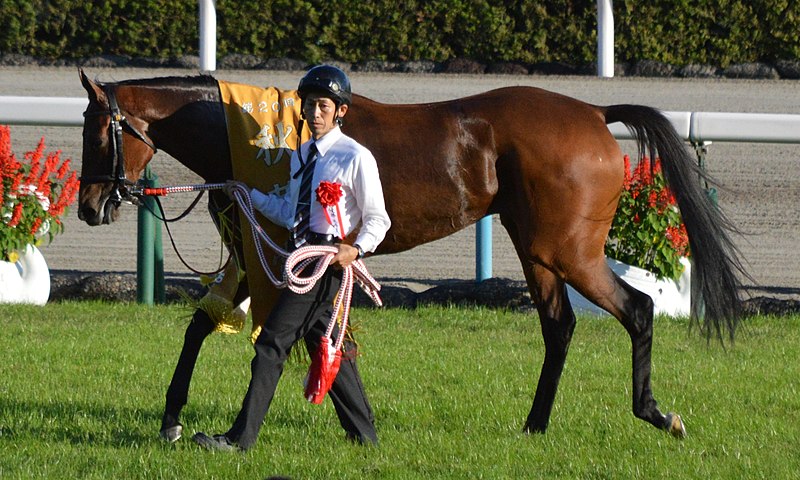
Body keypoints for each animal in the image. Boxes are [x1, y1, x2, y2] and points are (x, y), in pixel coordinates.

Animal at [78, 69, 748, 440]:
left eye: (96, 132)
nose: (89, 207)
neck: (255, 137)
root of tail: (592, 112)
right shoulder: (262, 254)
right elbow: (199, 326)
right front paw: (172, 417)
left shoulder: (276, 252)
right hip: (537, 250)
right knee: (559, 328)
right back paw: (533, 426)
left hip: (569, 251)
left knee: (636, 309)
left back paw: (655, 413)